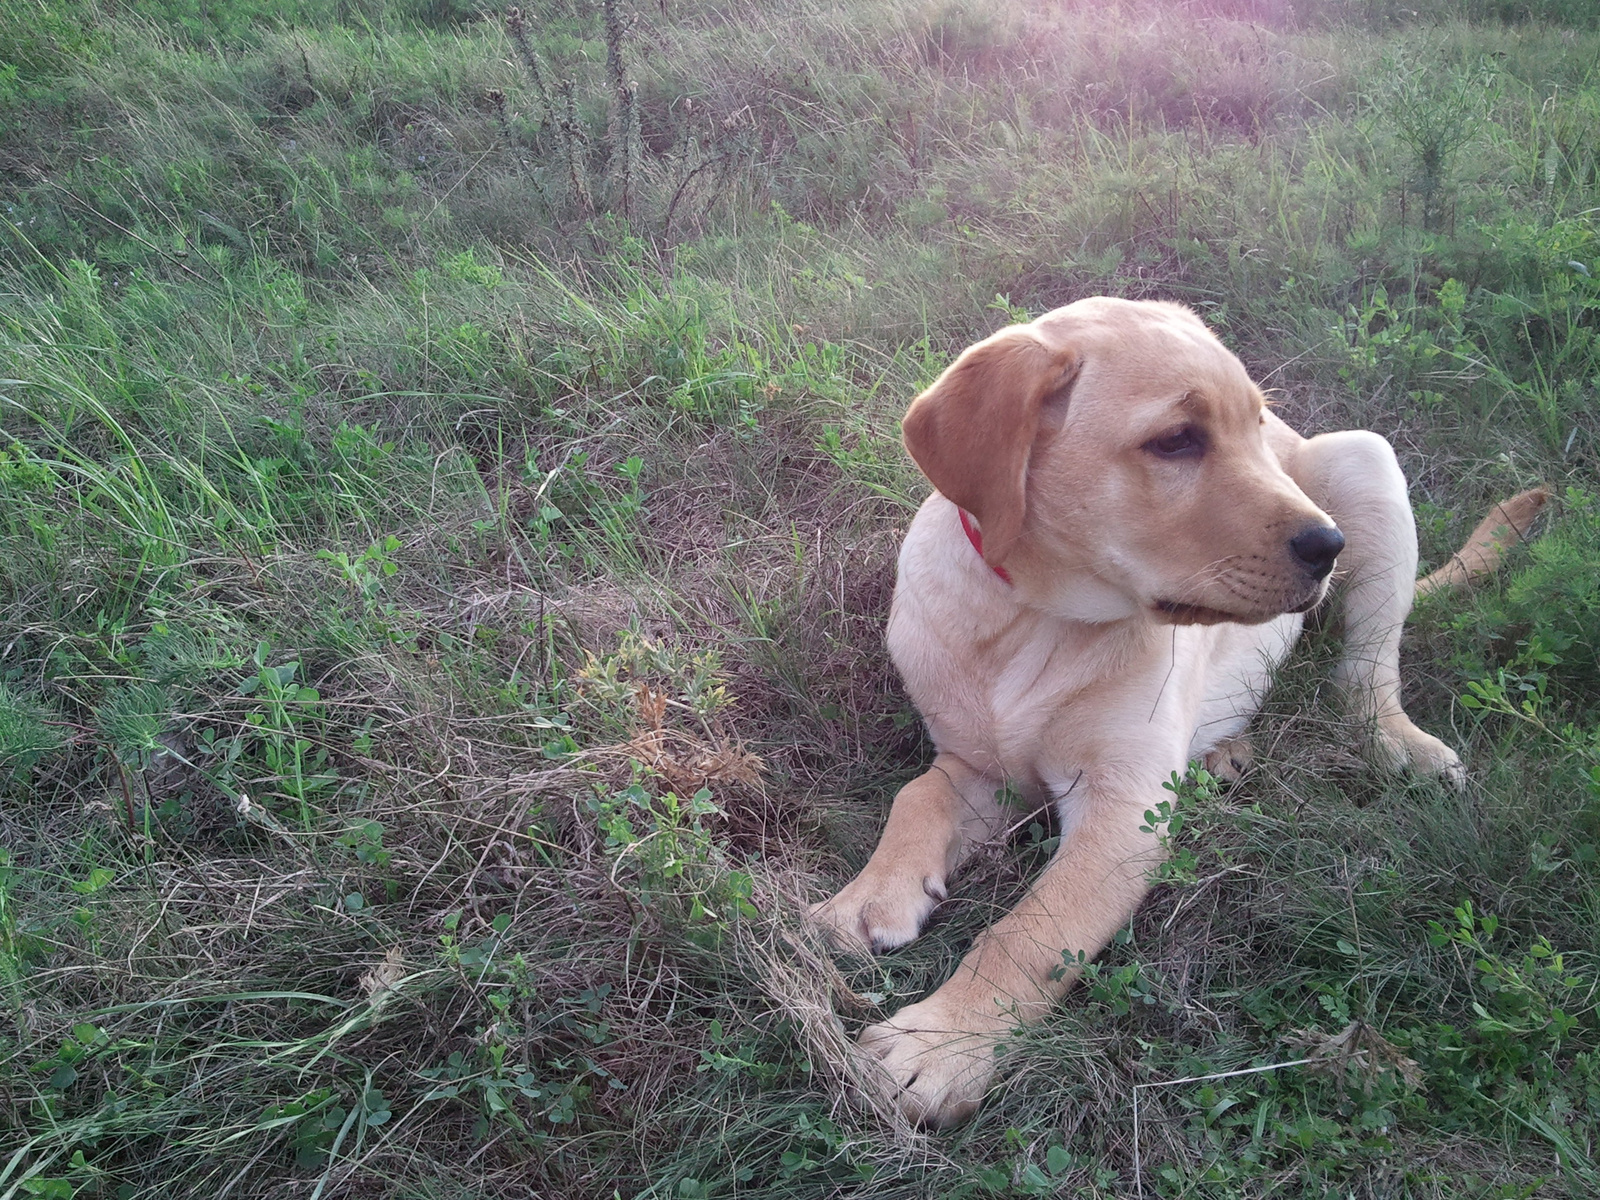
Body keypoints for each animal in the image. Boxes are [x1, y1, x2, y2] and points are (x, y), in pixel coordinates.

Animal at [819, 299, 1542, 1126]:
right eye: (1175, 441)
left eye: (1254, 427)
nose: (1329, 545)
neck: (1036, 615)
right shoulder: (978, 766)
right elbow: (917, 797)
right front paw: (869, 895)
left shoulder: (1123, 813)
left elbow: (1028, 933)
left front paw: (939, 1044)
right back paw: (1223, 752)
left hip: (1367, 464)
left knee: (1366, 672)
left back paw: (1397, 743)